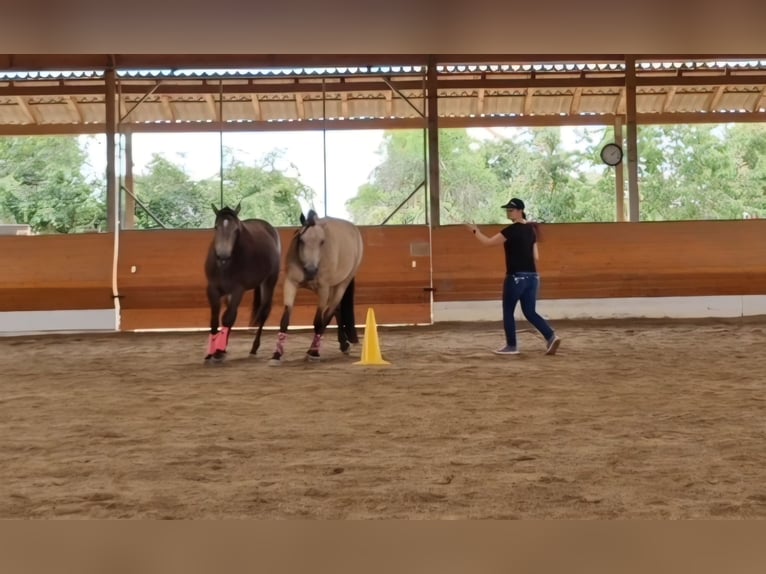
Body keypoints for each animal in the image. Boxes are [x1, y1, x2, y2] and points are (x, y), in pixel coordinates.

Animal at [203, 202, 282, 362]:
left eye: (236, 230)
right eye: (216, 227)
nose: (223, 256)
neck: (226, 266)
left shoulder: (237, 290)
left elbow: (228, 318)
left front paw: (218, 351)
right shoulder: (213, 289)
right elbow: (215, 320)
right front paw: (212, 351)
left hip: (269, 281)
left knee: (264, 312)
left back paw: (254, 347)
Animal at [268, 209, 363, 365]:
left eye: (322, 242)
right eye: (301, 240)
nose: (311, 271)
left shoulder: (323, 289)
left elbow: (318, 322)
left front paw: (314, 353)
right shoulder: (290, 283)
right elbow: (284, 320)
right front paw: (276, 355)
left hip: (341, 285)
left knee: (329, 314)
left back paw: (314, 350)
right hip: (333, 287)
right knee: (336, 310)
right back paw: (343, 344)